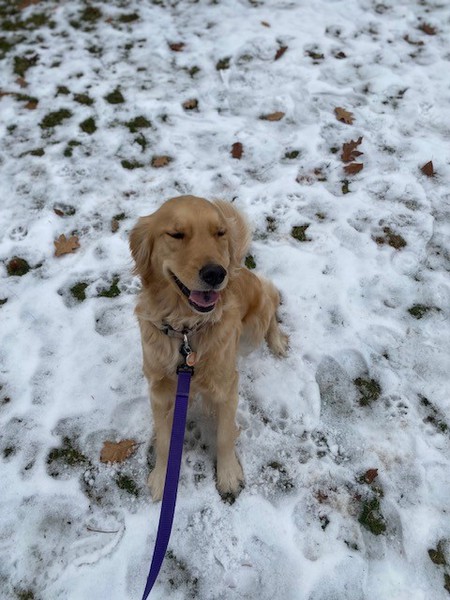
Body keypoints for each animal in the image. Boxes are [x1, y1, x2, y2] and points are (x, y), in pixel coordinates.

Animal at [130, 195, 288, 501]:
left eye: (220, 233)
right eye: (176, 234)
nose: (216, 273)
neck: (186, 329)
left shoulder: (226, 385)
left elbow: (225, 435)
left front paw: (228, 474)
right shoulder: (160, 391)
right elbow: (165, 441)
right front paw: (161, 477)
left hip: (254, 326)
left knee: (272, 300)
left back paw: (278, 340)